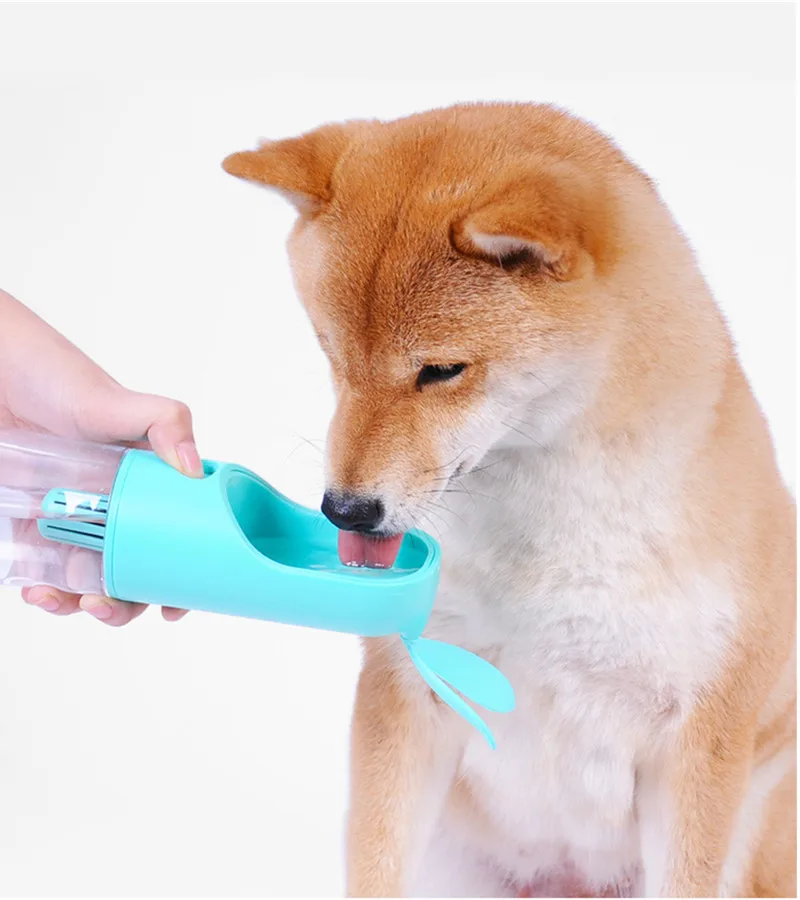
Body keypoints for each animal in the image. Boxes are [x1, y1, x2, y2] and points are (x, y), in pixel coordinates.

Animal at [223, 103, 796, 898]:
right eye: (331, 354)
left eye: (441, 371)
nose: (346, 511)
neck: (551, 546)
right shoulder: (406, 692)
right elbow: (374, 864)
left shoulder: (699, 742)